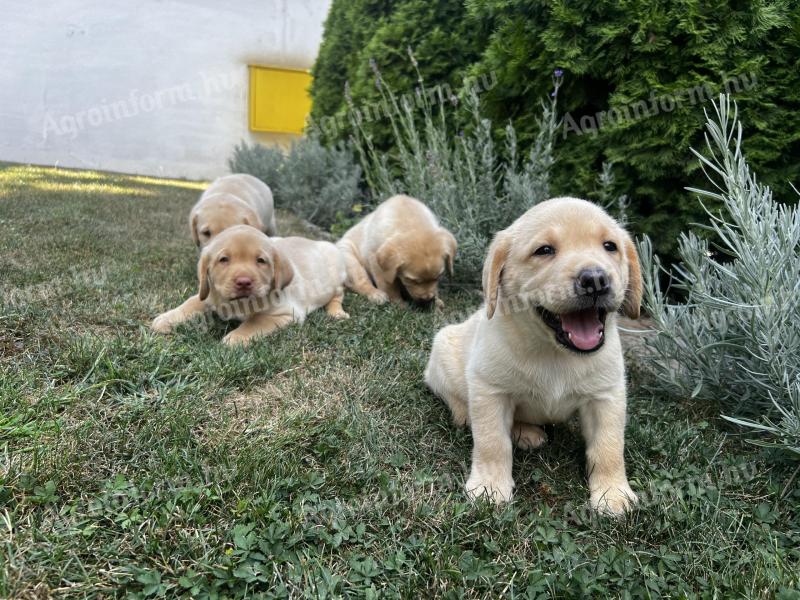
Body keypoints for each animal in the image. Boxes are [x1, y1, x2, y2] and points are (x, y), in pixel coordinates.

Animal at [153, 226, 346, 346]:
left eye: (261, 261)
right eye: (224, 259)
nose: (244, 281)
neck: (237, 304)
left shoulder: (286, 312)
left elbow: (255, 322)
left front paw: (235, 338)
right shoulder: (208, 294)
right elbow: (191, 303)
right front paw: (167, 318)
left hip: (336, 279)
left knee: (337, 296)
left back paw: (337, 313)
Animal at [424, 197, 644, 516]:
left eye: (610, 246)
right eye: (544, 250)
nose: (595, 279)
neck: (554, 353)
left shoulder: (607, 395)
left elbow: (609, 447)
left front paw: (612, 493)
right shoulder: (490, 390)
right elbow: (492, 442)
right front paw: (490, 487)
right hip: (442, 350)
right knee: (455, 398)